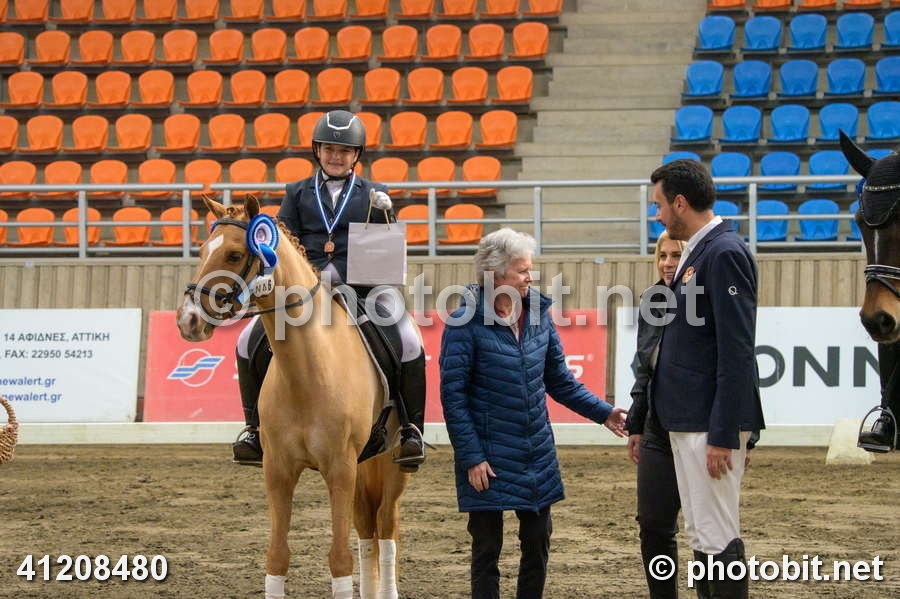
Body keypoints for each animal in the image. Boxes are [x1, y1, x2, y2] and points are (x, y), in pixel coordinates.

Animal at [176, 193, 411, 598]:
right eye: (204, 250)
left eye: (235, 255)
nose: (188, 321)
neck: (307, 372)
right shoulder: (278, 469)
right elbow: (277, 557)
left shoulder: (340, 468)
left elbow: (339, 561)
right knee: (367, 525)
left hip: (392, 459)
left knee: (386, 524)